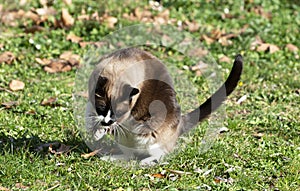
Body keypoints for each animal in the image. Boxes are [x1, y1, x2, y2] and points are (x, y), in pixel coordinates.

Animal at [83, 47, 243, 164]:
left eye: (119, 113)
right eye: (102, 108)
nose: (106, 123)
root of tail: (180, 122)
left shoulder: (126, 115)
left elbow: (115, 122)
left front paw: (100, 130)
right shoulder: (92, 99)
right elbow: (89, 110)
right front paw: (95, 130)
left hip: (150, 138)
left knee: (161, 155)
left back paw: (145, 162)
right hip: (123, 140)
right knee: (130, 155)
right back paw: (110, 158)